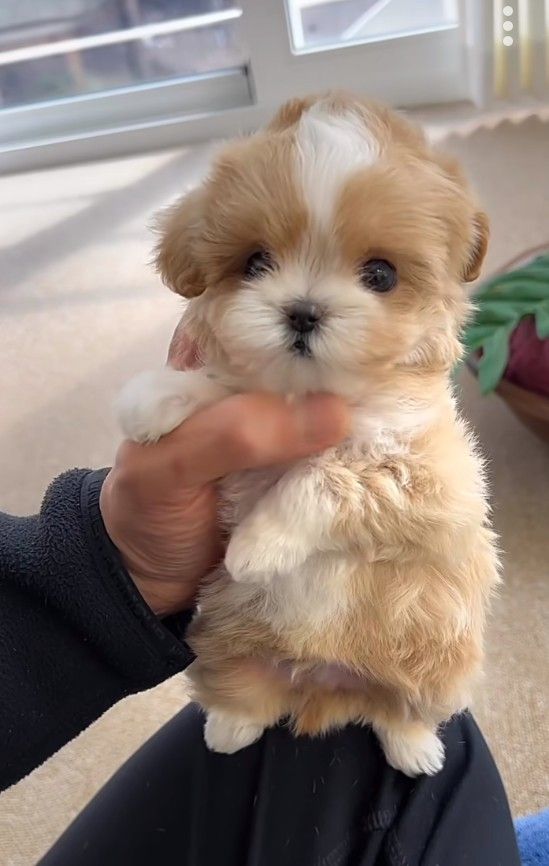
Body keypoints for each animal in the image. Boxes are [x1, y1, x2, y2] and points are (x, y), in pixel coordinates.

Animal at [117, 94, 498, 776]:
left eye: (381, 274)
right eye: (255, 263)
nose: (302, 311)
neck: (315, 392)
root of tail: (327, 683)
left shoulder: (428, 477)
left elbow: (326, 476)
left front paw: (256, 544)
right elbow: (228, 390)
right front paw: (157, 397)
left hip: (439, 662)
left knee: (402, 710)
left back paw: (416, 750)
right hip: (224, 645)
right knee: (244, 693)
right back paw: (230, 727)